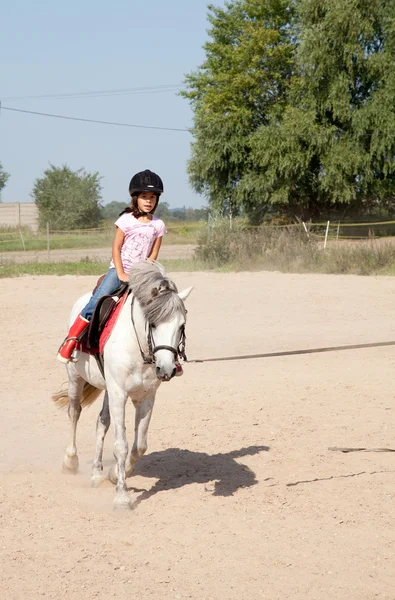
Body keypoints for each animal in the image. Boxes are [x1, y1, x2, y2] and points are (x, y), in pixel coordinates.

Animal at [52, 260, 193, 508]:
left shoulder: (146, 396)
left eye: (181, 325)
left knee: (102, 422)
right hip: (75, 378)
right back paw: (70, 461)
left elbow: (139, 445)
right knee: (74, 413)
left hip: (108, 388)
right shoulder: (119, 393)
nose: (166, 369)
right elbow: (121, 444)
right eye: (152, 323)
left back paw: (96, 473)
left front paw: (114, 474)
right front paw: (122, 497)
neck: (139, 348)